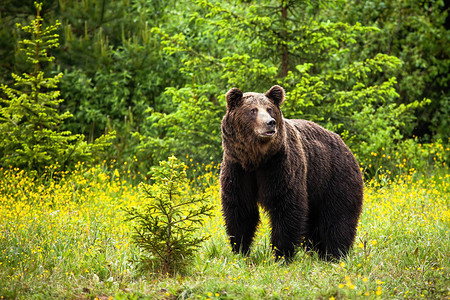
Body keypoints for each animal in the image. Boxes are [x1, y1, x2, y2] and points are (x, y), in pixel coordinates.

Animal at [220, 85, 364, 260]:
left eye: (269, 109)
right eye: (253, 110)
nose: (270, 123)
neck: (256, 159)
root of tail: (345, 146)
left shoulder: (279, 166)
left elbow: (286, 207)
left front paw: (281, 254)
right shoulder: (238, 169)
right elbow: (240, 209)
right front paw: (240, 250)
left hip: (335, 178)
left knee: (338, 218)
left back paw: (335, 254)